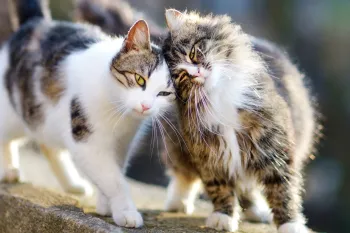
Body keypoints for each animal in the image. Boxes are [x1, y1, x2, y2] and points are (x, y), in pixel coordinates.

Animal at [162, 9, 318, 233]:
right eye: (182, 76)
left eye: (192, 53)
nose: (196, 72)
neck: (219, 96)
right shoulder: (209, 154)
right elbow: (219, 188)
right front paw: (223, 217)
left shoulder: (273, 148)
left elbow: (283, 190)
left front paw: (290, 224)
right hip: (177, 144)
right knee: (184, 175)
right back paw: (178, 202)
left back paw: (257, 211)